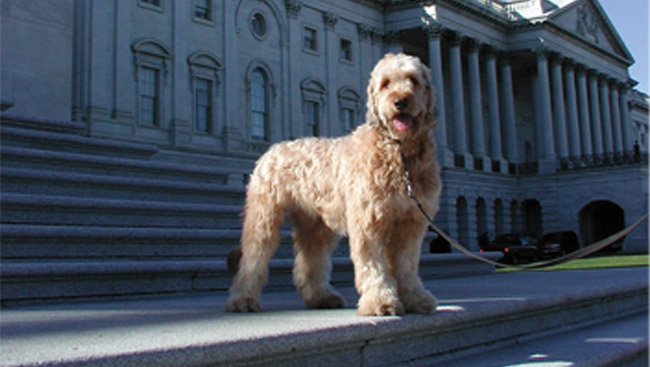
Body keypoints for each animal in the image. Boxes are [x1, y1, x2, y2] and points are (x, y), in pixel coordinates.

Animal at [224, 54, 440, 316]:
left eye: (413, 80)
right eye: (386, 84)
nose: (400, 101)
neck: (399, 152)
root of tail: (270, 150)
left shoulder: (411, 223)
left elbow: (406, 265)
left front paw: (415, 298)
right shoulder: (369, 222)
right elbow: (374, 265)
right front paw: (381, 301)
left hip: (315, 224)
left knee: (309, 261)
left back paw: (321, 297)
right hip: (263, 218)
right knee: (253, 258)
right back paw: (242, 299)